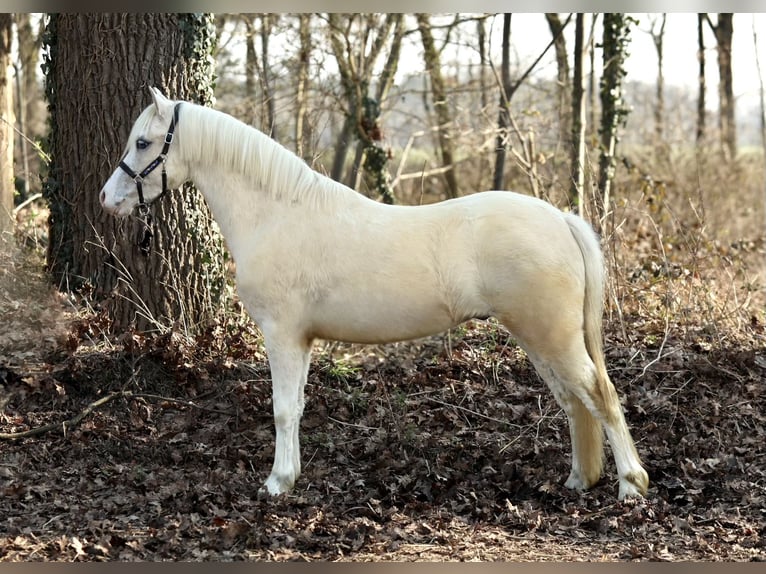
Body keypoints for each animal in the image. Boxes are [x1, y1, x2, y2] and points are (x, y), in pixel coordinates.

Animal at [100, 87, 649, 501]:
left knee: (601, 394)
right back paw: (578, 479)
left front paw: (276, 484)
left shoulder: (281, 335)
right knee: (573, 400)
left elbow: (281, 409)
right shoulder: (301, 341)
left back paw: (630, 485)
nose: (108, 199)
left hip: (551, 335)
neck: (277, 213)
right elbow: (297, 407)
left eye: (144, 143)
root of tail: (560, 218)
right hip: (539, 338)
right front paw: (290, 476)